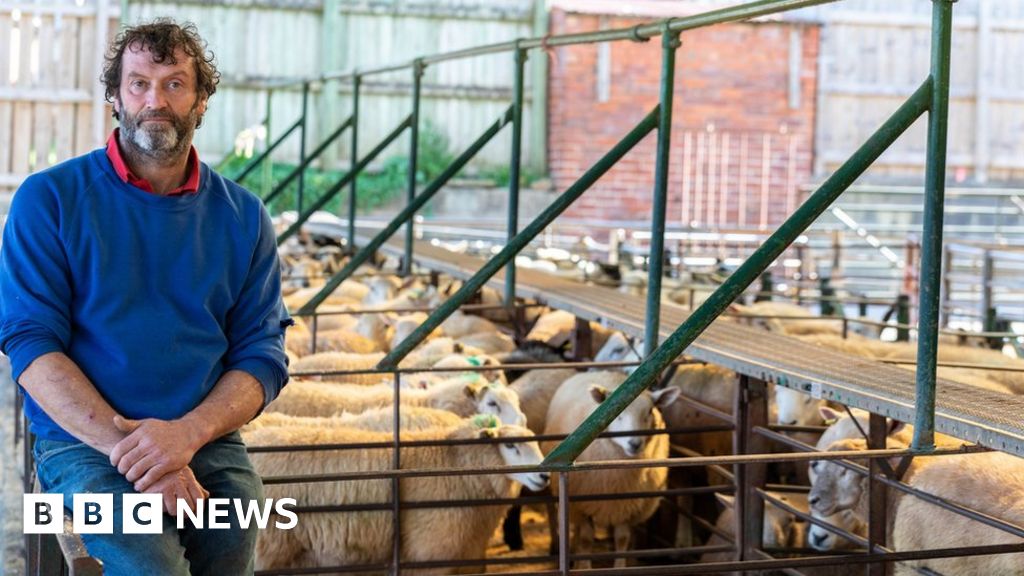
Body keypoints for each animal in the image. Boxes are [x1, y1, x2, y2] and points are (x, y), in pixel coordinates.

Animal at [544, 368, 679, 565]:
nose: (634, 443)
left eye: (649, 411)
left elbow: (622, 539)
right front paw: (583, 566)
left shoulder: (626, 505)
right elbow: (586, 539)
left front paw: (620, 565)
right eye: (617, 413)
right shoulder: (582, 505)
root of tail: (604, 371)